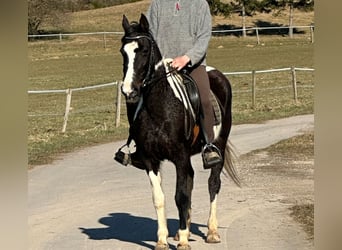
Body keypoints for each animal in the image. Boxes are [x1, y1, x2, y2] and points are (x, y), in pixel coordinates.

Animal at [116, 14, 239, 250]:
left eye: (144, 50)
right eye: (122, 52)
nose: (129, 91)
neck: (159, 107)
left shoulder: (180, 157)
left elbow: (181, 195)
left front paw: (182, 241)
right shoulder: (150, 160)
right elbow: (160, 198)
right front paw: (163, 240)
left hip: (218, 145)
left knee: (213, 184)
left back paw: (211, 231)